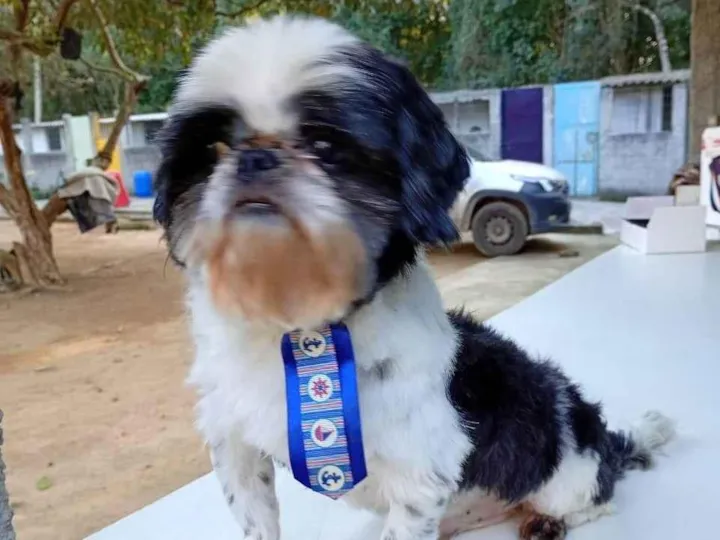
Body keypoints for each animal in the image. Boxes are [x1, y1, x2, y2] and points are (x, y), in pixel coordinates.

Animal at [153, 15, 676, 540]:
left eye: (325, 146)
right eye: (212, 150)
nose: (254, 158)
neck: (299, 322)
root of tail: (603, 438)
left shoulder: (421, 474)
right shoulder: (234, 443)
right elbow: (256, 517)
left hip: (570, 474)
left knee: (593, 500)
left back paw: (548, 519)